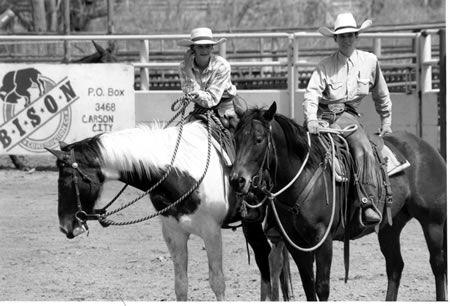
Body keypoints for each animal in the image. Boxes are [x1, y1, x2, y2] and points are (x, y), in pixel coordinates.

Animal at [46, 117, 292, 302]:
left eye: (68, 180)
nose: (65, 227)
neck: (179, 171)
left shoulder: (211, 232)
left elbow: (217, 282)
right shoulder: (173, 232)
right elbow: (180, 284)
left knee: (269, 260)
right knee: (269, 259)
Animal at [230, 102, 448, 302]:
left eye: (259, 139)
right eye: (236, 139)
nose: (236, 180)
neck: (303, 175)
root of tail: (427, 148)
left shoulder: (322, 238)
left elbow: (321, 287)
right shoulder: (295, 242)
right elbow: (308, 285)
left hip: (433, 221)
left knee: (437, 263)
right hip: (390, 226)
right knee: (395, 266)